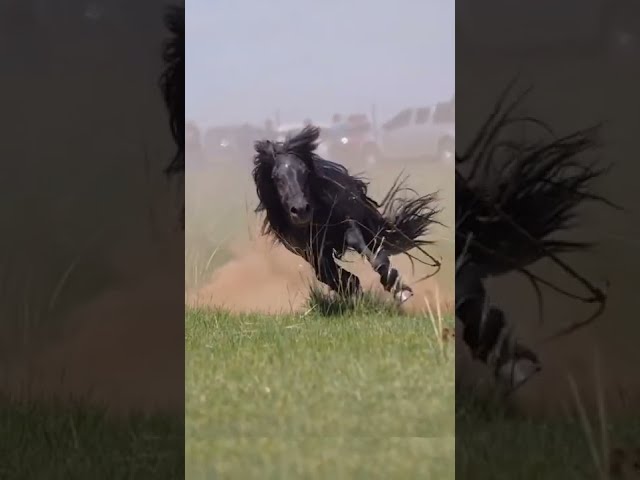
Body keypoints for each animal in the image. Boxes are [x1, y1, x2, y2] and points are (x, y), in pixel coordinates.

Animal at [252, 125, 442, 303]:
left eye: (305, 171)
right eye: (276, 178)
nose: (300, 210)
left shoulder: (349, 224)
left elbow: (367, 251)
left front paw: (400, 290)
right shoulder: (309, 250)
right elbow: (328, 274)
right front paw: (352, 287)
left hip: (368, 228)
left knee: (378, 251)